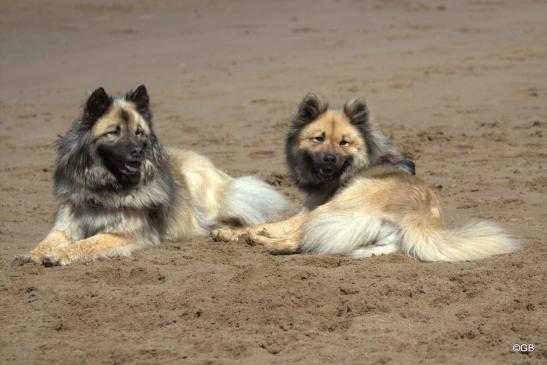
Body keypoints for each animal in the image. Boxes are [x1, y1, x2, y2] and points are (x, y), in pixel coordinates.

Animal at [15, 84, 292, 268]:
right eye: (114, 132)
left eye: (139, 132)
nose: (139, 152)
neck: (105, 187)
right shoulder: (66, 224)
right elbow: (48, 240)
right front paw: (32, 254)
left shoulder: (125, 234)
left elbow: (89, 242)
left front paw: (59, 255)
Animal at [212, 92, 520, 260]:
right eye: (318, 138)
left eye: (344, 143)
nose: (329, 159)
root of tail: (417, 216)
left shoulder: (308, 210)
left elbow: (265, 224)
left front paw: (231, 232)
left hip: (330, 211)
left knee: (293, 241)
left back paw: (263, 242)